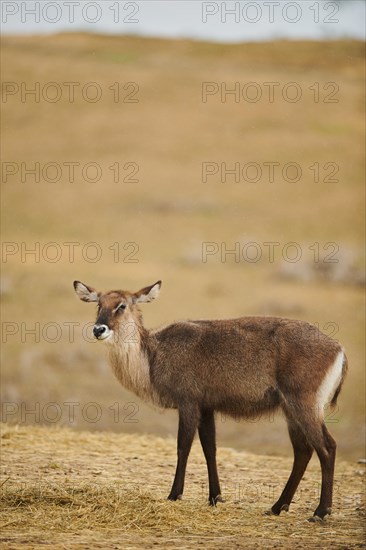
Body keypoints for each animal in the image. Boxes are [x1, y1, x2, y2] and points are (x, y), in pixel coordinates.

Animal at [73, 280, 348, 520]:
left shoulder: (188, 402)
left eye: (121, 305)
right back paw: (277, 507)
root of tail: (339, 349)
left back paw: (320, 512)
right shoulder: (207, 408)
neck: (152, 356)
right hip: (291, 410)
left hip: (303, 404)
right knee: (303, 450)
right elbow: (210, 448)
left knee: (327, 447)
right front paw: (215, 497)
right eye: (99, 304)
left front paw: (174, 494)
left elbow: (183, 446)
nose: (99, 329)